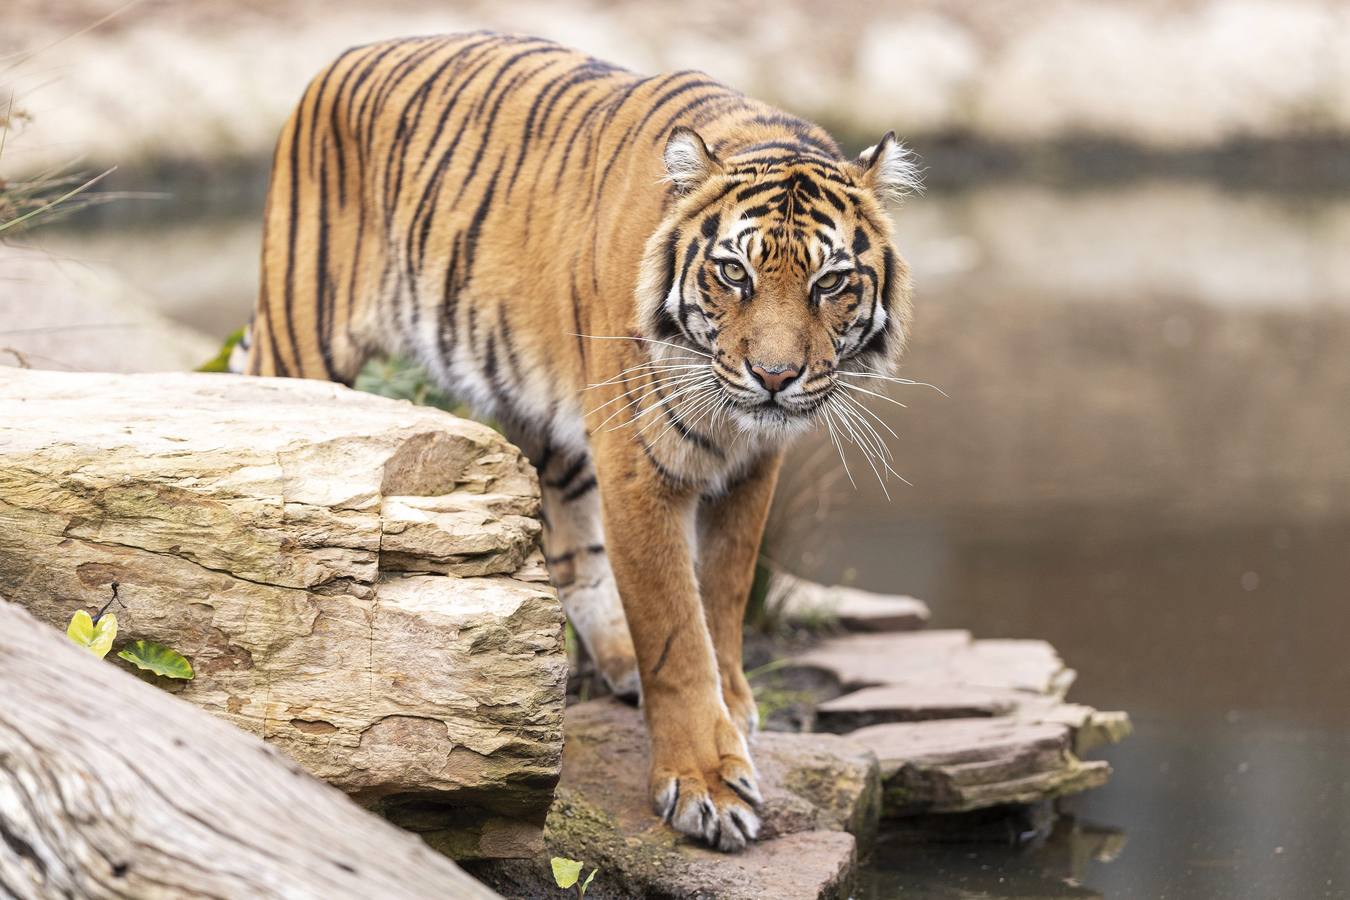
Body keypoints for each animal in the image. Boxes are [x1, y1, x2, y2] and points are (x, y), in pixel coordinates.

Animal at [237, 31, 923, 858]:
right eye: (734, 273)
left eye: (830, 283)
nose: (774, 377)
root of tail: (341, 58)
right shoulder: (638, 463)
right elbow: (675, 629)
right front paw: (705, 783)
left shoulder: (752, 468)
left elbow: (723, 598)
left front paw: (732, 706)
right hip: (302, 342)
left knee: (570, 542)